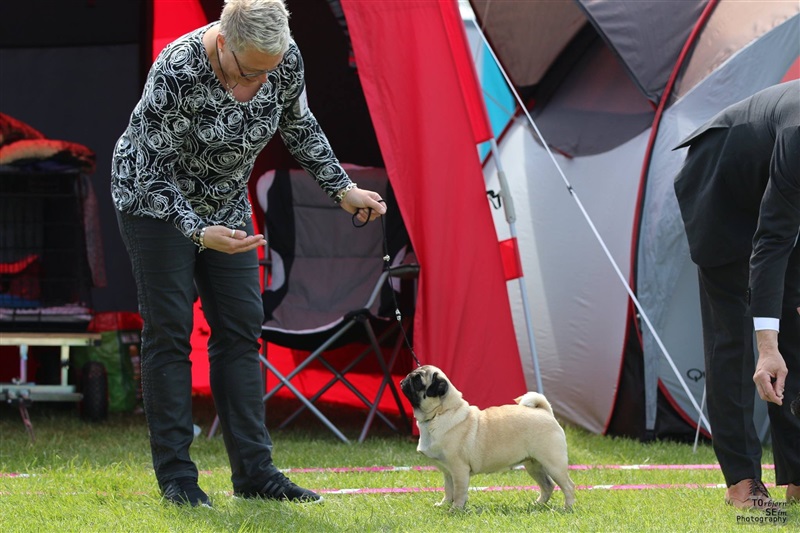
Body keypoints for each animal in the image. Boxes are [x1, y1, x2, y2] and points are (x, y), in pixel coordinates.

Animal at [400, 365, 575, 510]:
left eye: (417, 380)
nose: (404, 380)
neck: (441, 413)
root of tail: (545, 412)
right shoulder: (448, 472)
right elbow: (448, 490)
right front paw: (444, 504)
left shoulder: (459, 470)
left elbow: (459, 492)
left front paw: (455, 509)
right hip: (533, 465)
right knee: (547, 486)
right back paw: (537, 504)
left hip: (553, 464)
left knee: (568, 486)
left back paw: (567, 508)